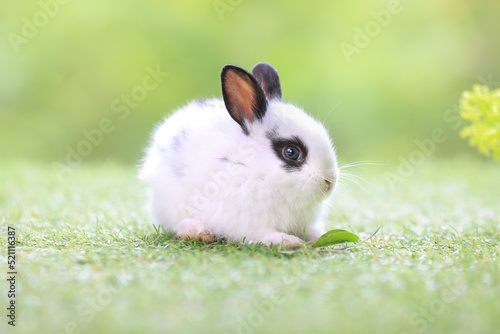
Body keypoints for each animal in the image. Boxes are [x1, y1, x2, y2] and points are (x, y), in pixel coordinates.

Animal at [139, 62, 338, 247]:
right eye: (291, 152)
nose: (329, 181)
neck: (253, 169)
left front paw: (318, 235)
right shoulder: (244, 221)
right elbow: (259, 233)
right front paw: (287, 241)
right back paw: (197, 231)